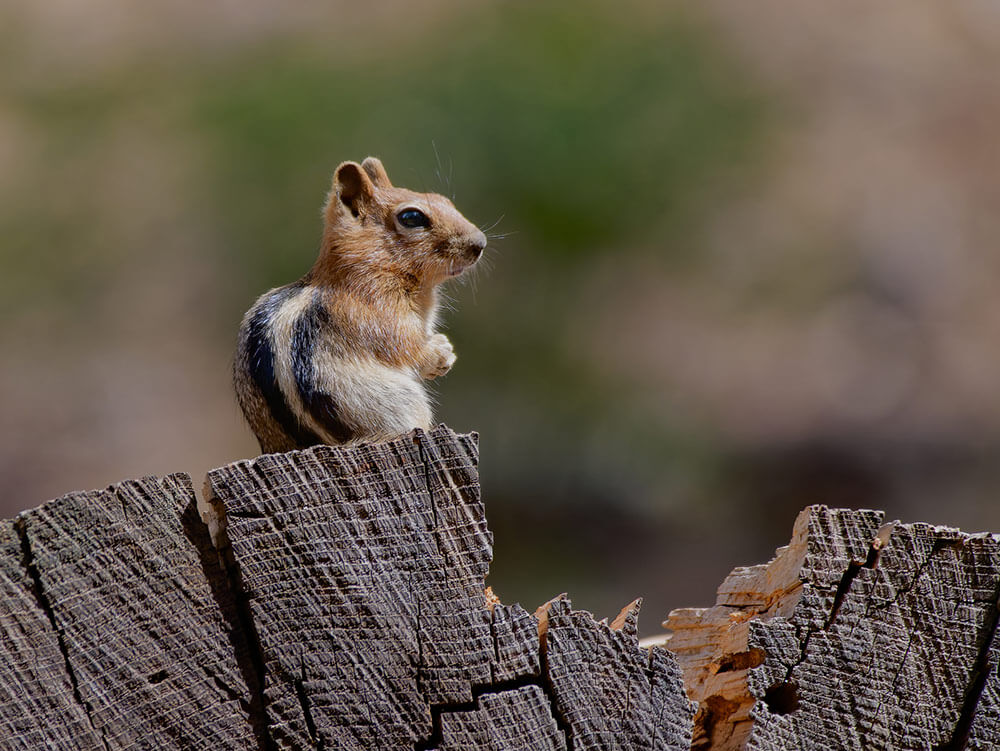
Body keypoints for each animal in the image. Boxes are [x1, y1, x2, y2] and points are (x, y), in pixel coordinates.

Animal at [233, 156, 486, 454]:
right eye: (412, 217)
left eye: (444, 200)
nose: (479, 243)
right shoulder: (380, 314)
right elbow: (408, 348)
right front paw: (441, 352)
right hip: (403, 401)